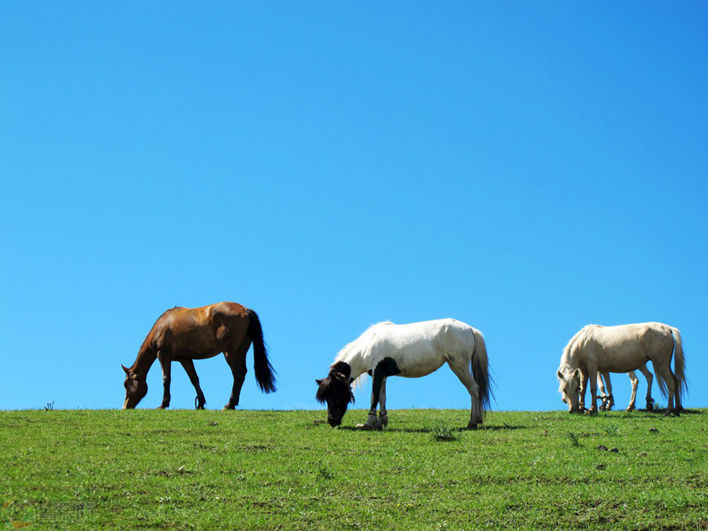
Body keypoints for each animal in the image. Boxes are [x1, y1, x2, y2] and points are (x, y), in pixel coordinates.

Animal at [121, 302, 276, 410]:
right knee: (242, 373)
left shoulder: (163, 355)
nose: (125, 407)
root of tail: (245, 310)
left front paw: (164, 403)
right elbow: (194, 379)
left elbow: (166, 379)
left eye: (126, 384)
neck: (162, 326)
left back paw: (229, 404)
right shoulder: (185, 359)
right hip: (241, 350)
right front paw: (201, 403)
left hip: (230, 353)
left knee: (238, 374)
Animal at [316, 318, 492, 430]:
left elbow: (374, 397)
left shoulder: (378, 373)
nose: (332, 421)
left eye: (335, 393)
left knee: (474, 389)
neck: (367, 347)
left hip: (459, 366)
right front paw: (381, 422)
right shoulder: (382, 375)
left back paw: (473, 422)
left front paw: (368, 423)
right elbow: (382, 398)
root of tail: (470, 329)